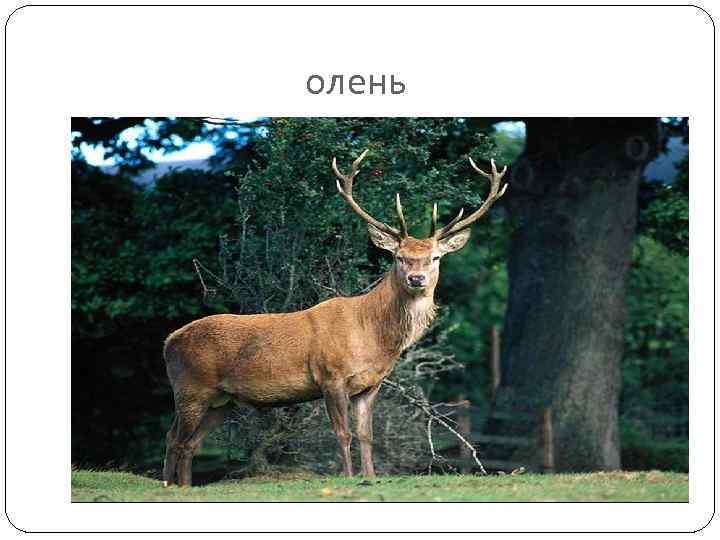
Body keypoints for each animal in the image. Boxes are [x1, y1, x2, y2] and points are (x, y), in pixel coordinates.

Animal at [161, 149, 508, 486]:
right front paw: (349, 477)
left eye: (435, 257)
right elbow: (342, 433)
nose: (417, 279)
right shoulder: (331, 375)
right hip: (190, 387)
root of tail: (168, 341)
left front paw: (370, 478)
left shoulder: (370, 385)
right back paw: (168, 485)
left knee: (188, 443)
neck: (372, 337)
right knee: (175, 438)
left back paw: (181, 485)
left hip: (223, 400)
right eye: (398, 257)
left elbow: (366, 434)